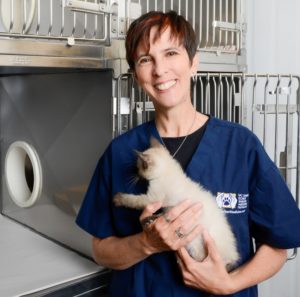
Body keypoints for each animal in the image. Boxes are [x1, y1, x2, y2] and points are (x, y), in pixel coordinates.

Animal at [113, 136, 240, 268]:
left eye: (139, 168)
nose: (137, 174)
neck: (166, 171)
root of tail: (232, 257)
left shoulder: (152, 199)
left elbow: (132, 200)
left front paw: (118, 199)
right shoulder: (161, 204)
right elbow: (158, 213)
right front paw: (151, 218)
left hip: (196, 244)